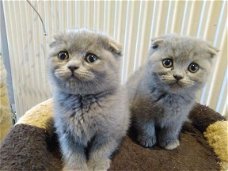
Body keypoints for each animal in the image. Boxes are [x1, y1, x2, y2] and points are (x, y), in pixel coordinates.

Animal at [47, 29, 130, 170]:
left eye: (91, 58)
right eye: (63, 55)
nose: (72, 66)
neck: (82, 99)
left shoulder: (108, 131)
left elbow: (100, 150)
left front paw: (97, 165)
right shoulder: (66, 131)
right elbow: (72, 152)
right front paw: (76, 167)